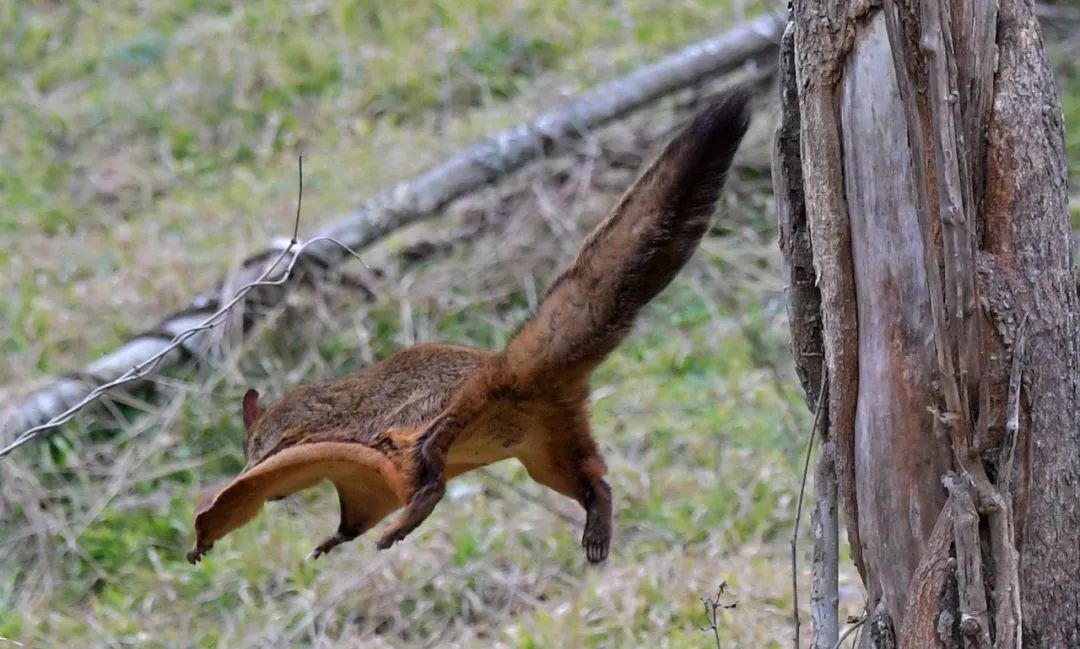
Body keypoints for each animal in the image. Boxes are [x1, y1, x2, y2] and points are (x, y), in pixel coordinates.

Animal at [187, 88, 751, 565]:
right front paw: (327, 540)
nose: (273, 490)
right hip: (551, 447)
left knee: (432, 476)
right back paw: (596, 532)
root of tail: (510, 372)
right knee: (596, 481)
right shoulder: (360, 487)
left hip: (436, 423)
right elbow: (353, 517)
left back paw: (407, 520)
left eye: (255, 445)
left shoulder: (300, 432)